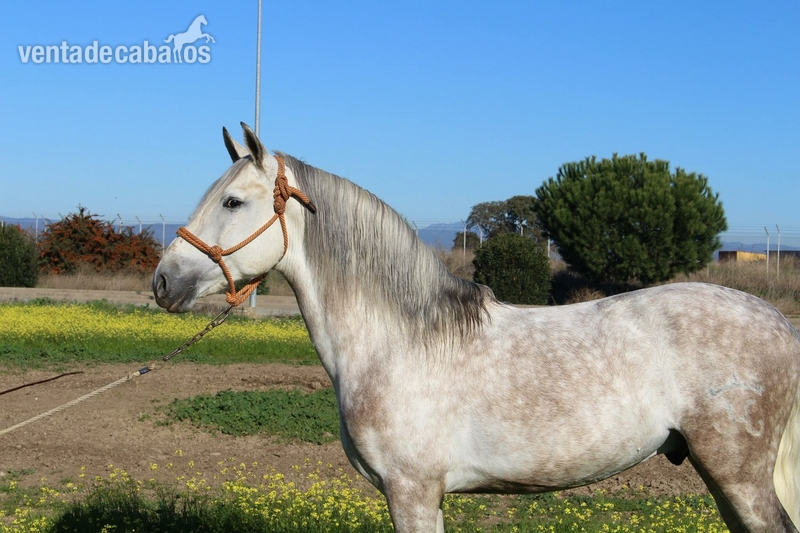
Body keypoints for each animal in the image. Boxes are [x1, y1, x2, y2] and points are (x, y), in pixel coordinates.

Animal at [153, 123, 800, 533]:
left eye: (233, 202)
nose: (163, 281)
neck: (397, 340)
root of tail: (778, 321)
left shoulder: (412, 492)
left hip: (740, 477)